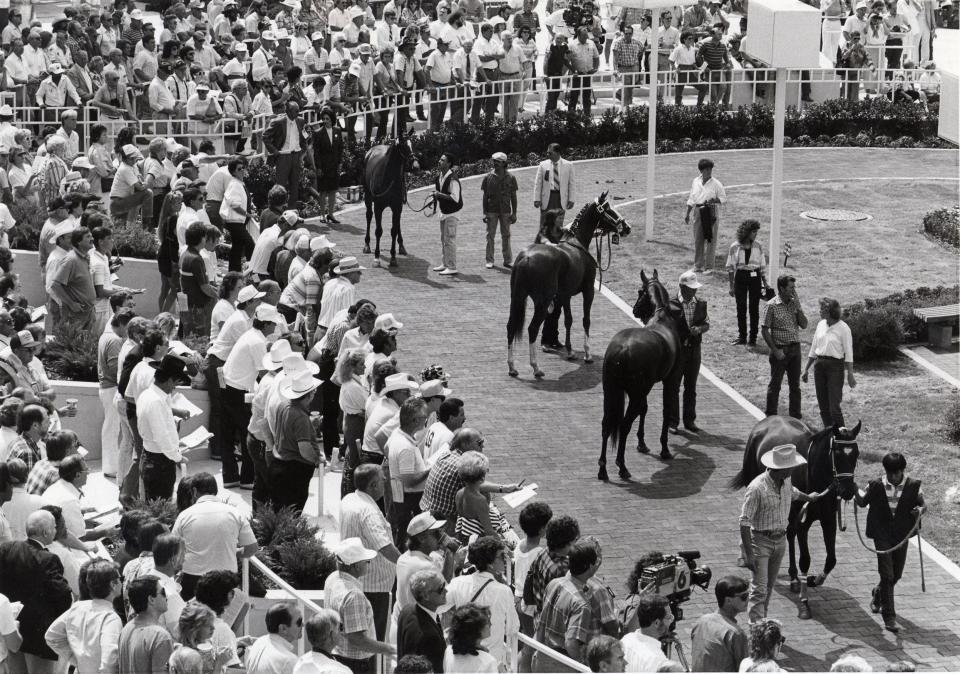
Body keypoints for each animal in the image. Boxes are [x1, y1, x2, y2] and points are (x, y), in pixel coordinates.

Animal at [362, 138, 418, 266]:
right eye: (402, 145)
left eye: (412, 144)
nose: (416, 166)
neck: (388, 177)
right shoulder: (378, 207)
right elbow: (378, 231)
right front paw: (377, 257)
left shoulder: (397, 206)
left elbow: (394, 230)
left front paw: (393, 257)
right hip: (368, 196)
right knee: (369, 216)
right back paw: (367, 244)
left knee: (398, 224)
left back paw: (401, 246)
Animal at [502, 192, 632, 378]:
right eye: (609, 210)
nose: (627, 227)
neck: (576, 243)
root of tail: (525, 258)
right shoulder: (588, 291)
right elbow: (586, 320)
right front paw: (587, 354)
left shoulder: (565, 295)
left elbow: (568, 320)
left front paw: (570, 351)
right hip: (542, 302)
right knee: (532, 329)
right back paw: (535, 367)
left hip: (518, 297)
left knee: (511, 326)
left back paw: (512, 367)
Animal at [596, 268, 688, 478]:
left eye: (639, 291)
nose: (635, 310)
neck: (662, 318)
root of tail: (621, 349)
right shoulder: (670, 381)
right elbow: (665, 410)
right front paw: (664, 449)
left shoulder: (645, 388)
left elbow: (644, 409)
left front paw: (642, 443)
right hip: (636, 393)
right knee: (624, 425)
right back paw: (621, 466)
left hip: (613, 391)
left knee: (607, 425)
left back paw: (603, 468)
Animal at [728, 414, 864, 620]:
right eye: (838, 454)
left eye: (855, 454)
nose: (847, 491)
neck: (815, 473)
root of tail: (767, 420)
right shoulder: (803, 523)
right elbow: (805, 559)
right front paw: (804, 602)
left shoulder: (828, 520)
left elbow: (831, 559)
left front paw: (814, 579)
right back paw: (746, 555)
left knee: (789, 533)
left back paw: (793, 577)